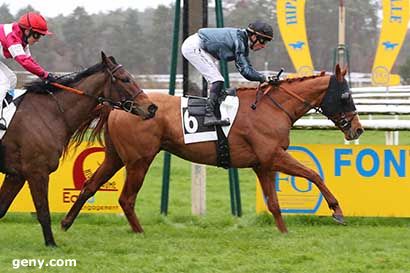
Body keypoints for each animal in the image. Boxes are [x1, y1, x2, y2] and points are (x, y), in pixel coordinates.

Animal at [0, 50, 157, 244]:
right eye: (125, 79)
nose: (151, 108)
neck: (50, 113)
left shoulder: (16, 175)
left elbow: (2, 208)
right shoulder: (37, 171)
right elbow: (43, 212)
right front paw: (51, 244)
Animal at [60, 64, 362, 234]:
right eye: (346, 95)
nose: (357, 129)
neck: (272, 107)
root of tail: (118, 107)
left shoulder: (263, 164)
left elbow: (274, 204)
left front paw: (284, 232)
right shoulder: (274, 155)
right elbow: (313, 174)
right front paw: (337, 210)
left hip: (115, 158)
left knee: (90, 186)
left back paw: (66, 223)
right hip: (139, 160)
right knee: (126, 199)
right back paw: (138, 232)